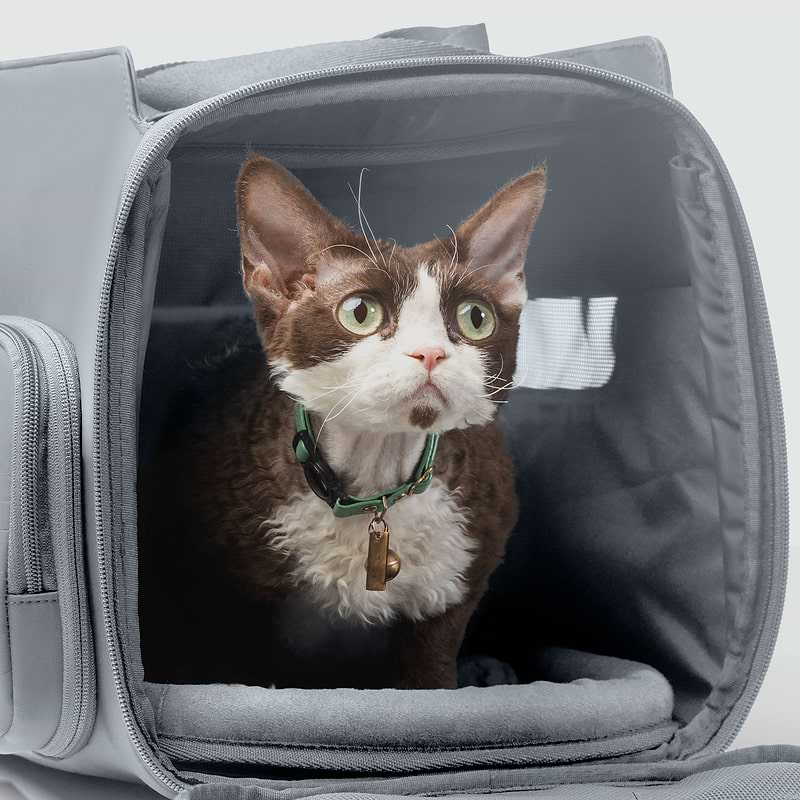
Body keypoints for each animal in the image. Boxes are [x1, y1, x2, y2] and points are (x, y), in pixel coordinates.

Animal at [141, 158, 548, 692]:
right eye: (360, 312)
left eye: (475, 317)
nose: (431, 353)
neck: (374, 482)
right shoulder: (235, 594)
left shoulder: (463, 569)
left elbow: (430, 677)